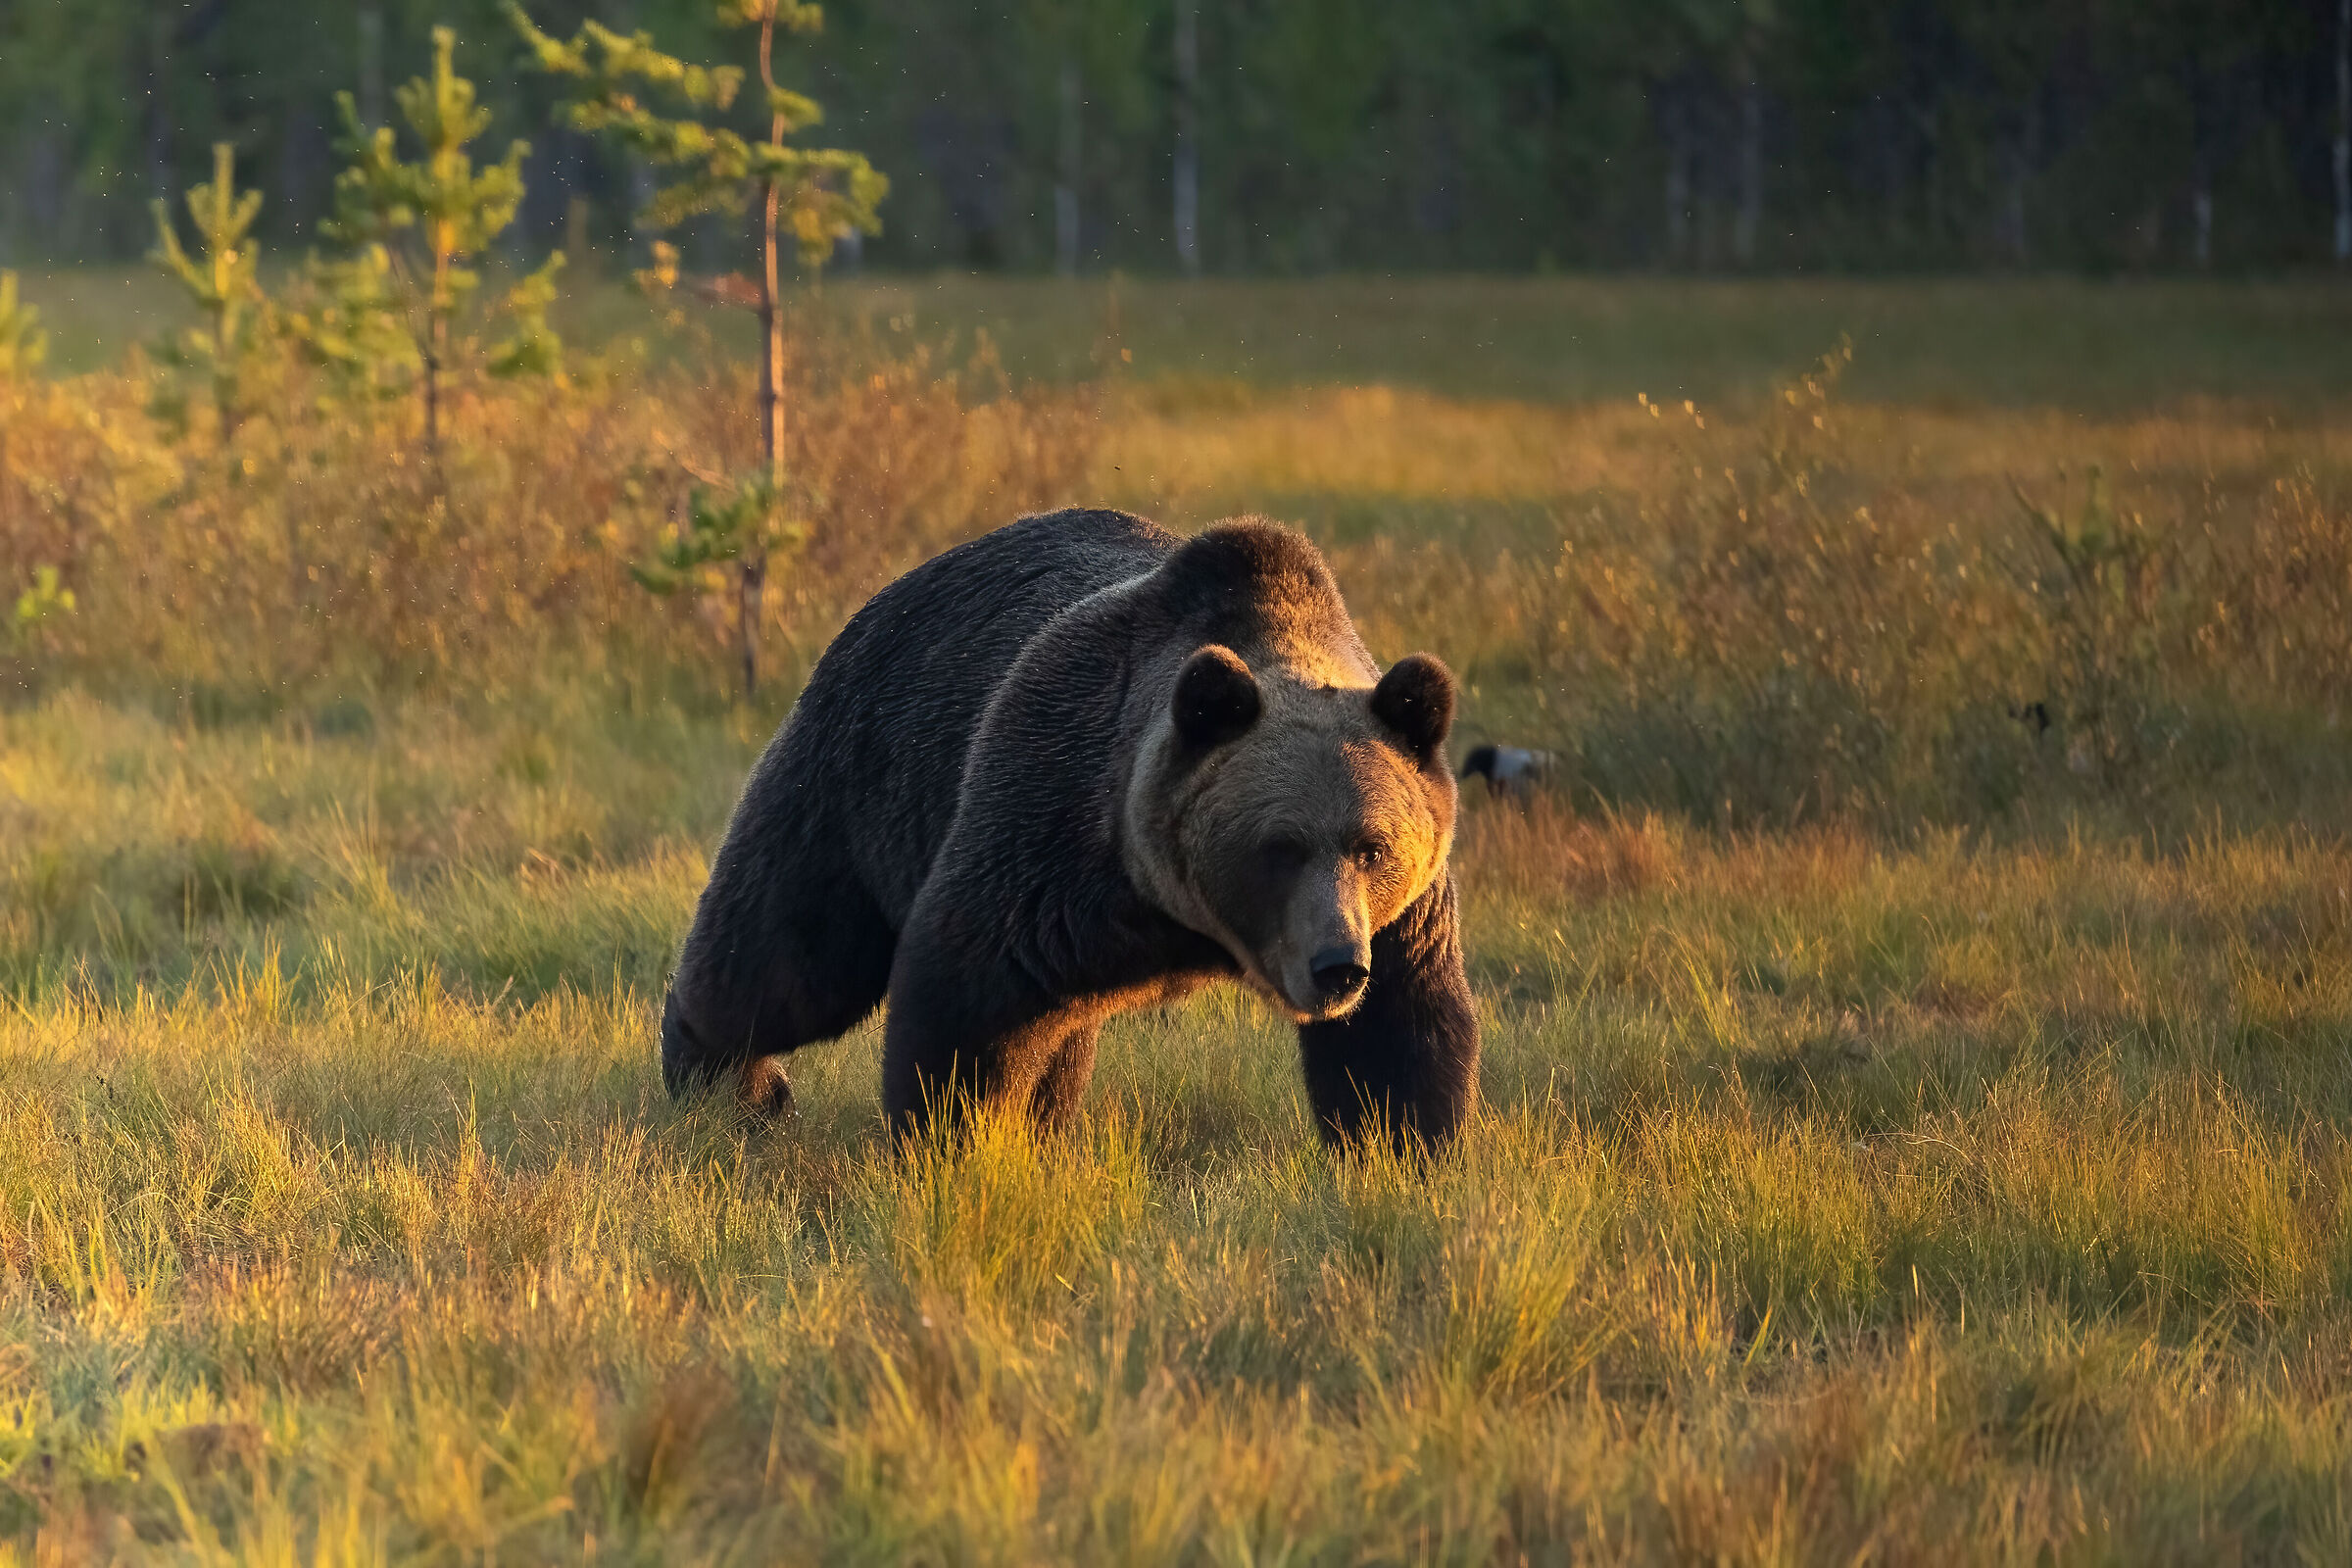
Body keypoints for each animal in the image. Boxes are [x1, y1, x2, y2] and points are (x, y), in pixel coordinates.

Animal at [660, 507, 1479, 1148]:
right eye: (1278, 847)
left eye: (1372, 848)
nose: (1336, 965)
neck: (1180, 918)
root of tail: (892, 591)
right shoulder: (1052, 822)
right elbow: (964, 994)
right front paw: (954, 1150)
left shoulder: (1403, 921)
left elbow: (1399, 1037)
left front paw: (1403, 1156)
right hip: (863, 772)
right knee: (788, 955)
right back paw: (728, 1086)